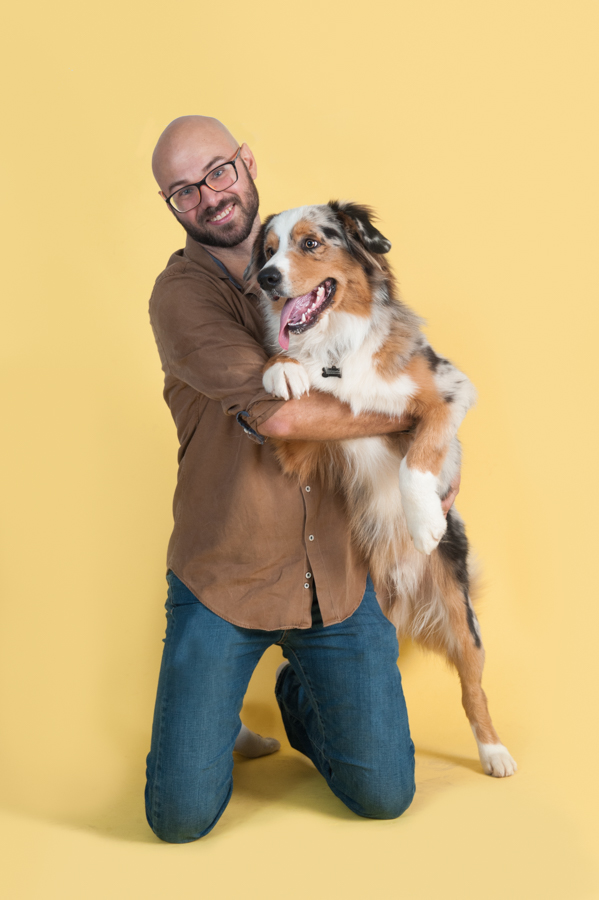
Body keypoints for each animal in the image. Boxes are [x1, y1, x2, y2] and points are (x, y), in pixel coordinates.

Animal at [245, 200, 517, 777]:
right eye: (268, 249)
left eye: (310, 243)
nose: (266, 279)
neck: (336, 347)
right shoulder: (297, 445)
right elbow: (287, 381)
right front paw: (282, 368)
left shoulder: (449, 389)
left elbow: (419, 459)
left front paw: (425, 520)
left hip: (460, 613)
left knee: (473, 688)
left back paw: (494, 752)